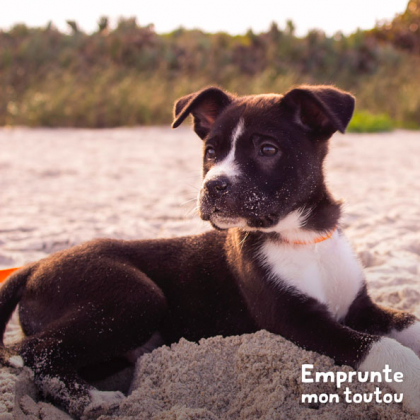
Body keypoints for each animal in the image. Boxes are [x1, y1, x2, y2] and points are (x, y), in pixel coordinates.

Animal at [0, 85, 420, 416]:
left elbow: (407, 323)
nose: (213, 186)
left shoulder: (359, 307)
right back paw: (93, 400)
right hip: (137, 295)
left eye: (267, 149)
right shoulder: (295, 320)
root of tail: (36, 265)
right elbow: (381, 347)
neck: (302, 237)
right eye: (210, 152)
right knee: (33, 351)